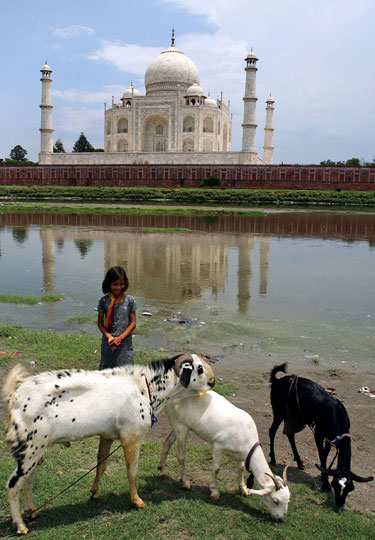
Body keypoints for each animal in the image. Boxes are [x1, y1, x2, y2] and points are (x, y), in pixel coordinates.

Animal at [2, 352, 216, 532]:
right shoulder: (131, 437)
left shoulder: (107, 435)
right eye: (199, 369)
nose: (213, 381)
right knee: (12, 485)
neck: (145, 387)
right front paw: (137, 501)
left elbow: (101, 464)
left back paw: (32, 512)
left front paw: (95, 492)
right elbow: (132, 471)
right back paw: (20, 526)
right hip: (31, 450)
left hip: (36, 452)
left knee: (28, 481)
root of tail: (16, 395)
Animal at [159, 390, 290, 520]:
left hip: (177, 425)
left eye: (288, 500)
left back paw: (162, 471)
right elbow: (216, 469)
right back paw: (185, 483)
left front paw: (243, 489)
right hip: (181, 425)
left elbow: (241, 469)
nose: (280, 519)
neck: (245, 434)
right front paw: (214, 492)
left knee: (167, 442)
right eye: (275, 501)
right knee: (180, 455)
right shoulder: (219, 446)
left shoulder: (241, 455)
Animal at [268, 364, 374, 508]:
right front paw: (325, 483)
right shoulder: (318, 434)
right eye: (335, 485)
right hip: (279, 410)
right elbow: (322, 454)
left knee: (290, 434)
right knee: (272, 431)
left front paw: (323, 475)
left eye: (350, 488)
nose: (339, 504)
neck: (336, 415)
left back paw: (299, 461)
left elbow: (326, 453)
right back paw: (273, 459)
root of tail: (277, 381)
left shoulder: (330, 438)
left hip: (294, 415)